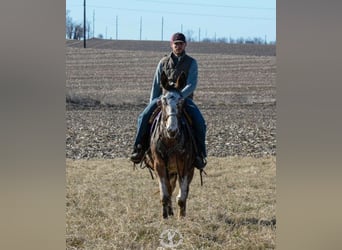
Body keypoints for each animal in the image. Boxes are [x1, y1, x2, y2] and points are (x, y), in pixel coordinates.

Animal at [144, 71, 196, 219]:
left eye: (181, 101)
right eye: (163, 100)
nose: (171, 130)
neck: (170, 140)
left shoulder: (185, 167)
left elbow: (182, 196)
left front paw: (181, 217)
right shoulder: (159, 165)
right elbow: (165, 193)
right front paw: (165, 216)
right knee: (169, 188)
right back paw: (169, 211)